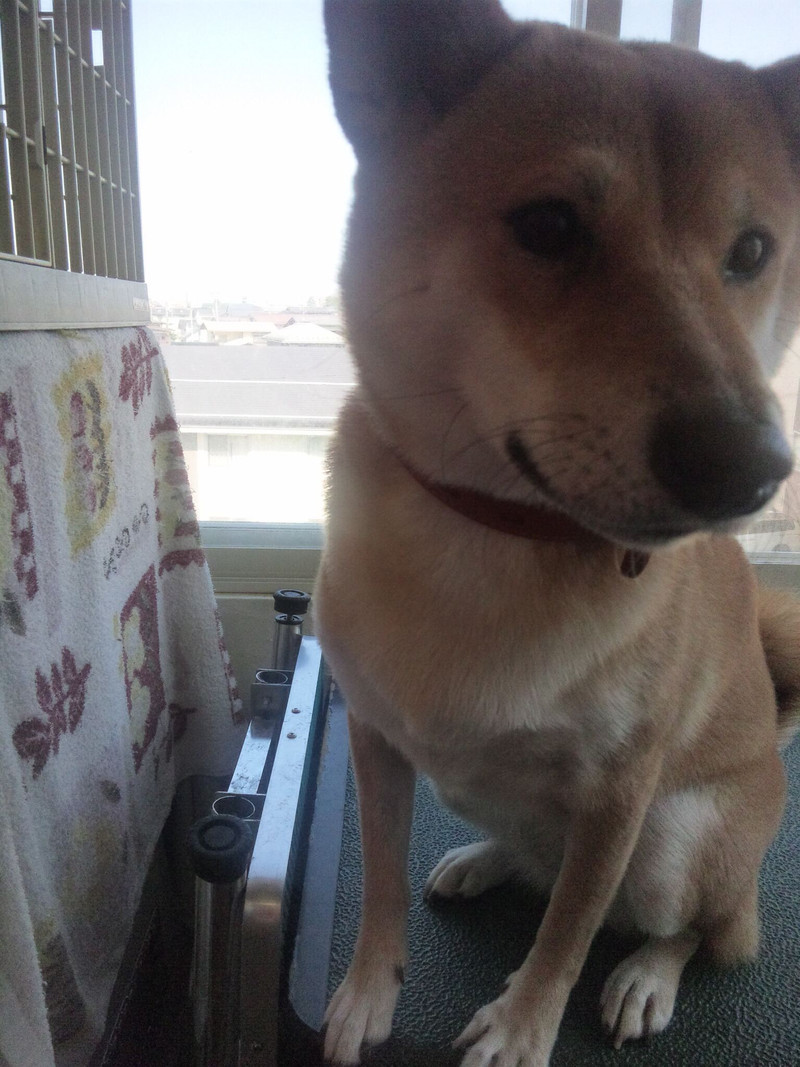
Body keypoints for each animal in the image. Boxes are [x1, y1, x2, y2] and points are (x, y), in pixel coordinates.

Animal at [314, 3, 800, 1064]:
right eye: (549, 225)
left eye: (751, 252)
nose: (752, 466)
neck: (490, 539)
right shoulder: (372, 734)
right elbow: (377, 880)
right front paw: (368, 990)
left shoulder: (622, 789)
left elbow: (569, 933)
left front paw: (522, 1028)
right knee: (541, 863)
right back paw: (487, 857)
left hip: (674, 844)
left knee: (693, 927)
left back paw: (647, 975)